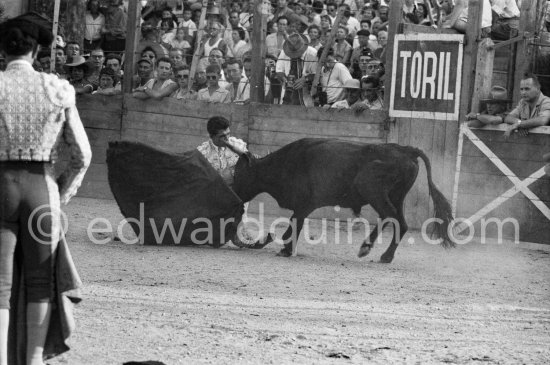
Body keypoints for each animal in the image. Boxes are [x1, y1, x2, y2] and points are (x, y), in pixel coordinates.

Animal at [234, 137, 458, 262]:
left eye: (239, 173)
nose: (234, 194)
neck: (284, 163)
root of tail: (406, 149)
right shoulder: (303, 207)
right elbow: (294, 225)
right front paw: (286, 249)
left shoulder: (304, 204)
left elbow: (293, 225)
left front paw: (285, 250)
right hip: (396, 196)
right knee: (397, 221)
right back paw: (378, 253)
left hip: (371, 189)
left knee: (392, 218)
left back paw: (374, 251)